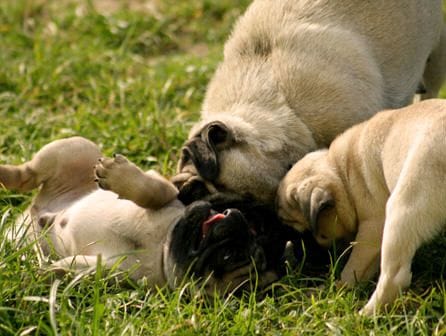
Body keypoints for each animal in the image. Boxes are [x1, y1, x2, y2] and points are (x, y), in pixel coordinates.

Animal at [0, 136, 290, 294]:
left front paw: (47, 272)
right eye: (253, 225)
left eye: (228, 256)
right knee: (29, 173)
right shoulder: (169, 191)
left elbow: (78, 267)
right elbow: (154, 191)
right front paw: (119, 176)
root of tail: (32, 213)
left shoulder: (115, 271)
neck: (161, 245)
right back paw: (6, 172)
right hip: (75, 150)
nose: (233, 217)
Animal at [276, 99, 446, 316]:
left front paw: (337, 289)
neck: (342, 173)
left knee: (394, 277)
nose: (294, 250)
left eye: (300, 230)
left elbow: (354, 267)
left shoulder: (371, 230)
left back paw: (367, 314)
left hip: (403, 209)